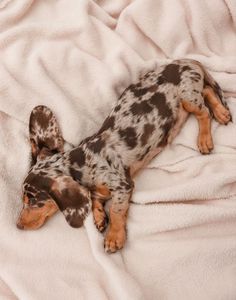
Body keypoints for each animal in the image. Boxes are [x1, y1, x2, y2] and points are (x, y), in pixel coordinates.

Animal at [16, 59, 230, 253]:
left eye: (33, 202)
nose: (18, 225)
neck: (83, 161)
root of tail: (186, 60)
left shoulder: (122, 185)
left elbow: (116, 210)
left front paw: (113, 237)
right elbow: (96, 200)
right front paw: (99, 218)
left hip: (188, 96)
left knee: (204, 112)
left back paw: (206, 135)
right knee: (207, 92)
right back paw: (221, 112)